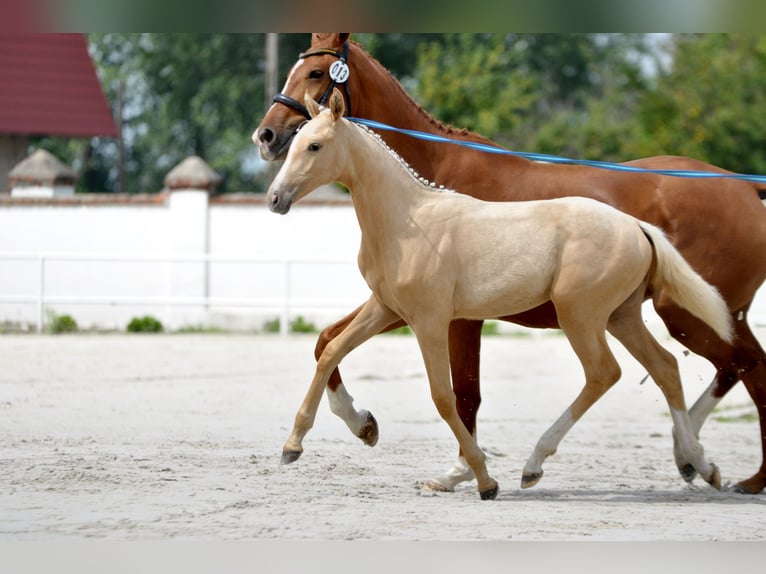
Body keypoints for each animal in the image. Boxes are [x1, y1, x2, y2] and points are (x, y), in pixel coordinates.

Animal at [254, 33, 766, 494]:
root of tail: (637, 226)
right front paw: (308, 441)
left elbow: (451, 395)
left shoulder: (436, 319)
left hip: (601, 315)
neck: (410, 215)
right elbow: (330, 348)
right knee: (670, 367)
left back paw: (543, 464)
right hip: (625, 315)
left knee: (624, 372)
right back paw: (697, 461)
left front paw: (476, 477)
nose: (267, 143)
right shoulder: (388, 307)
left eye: (316, 72)